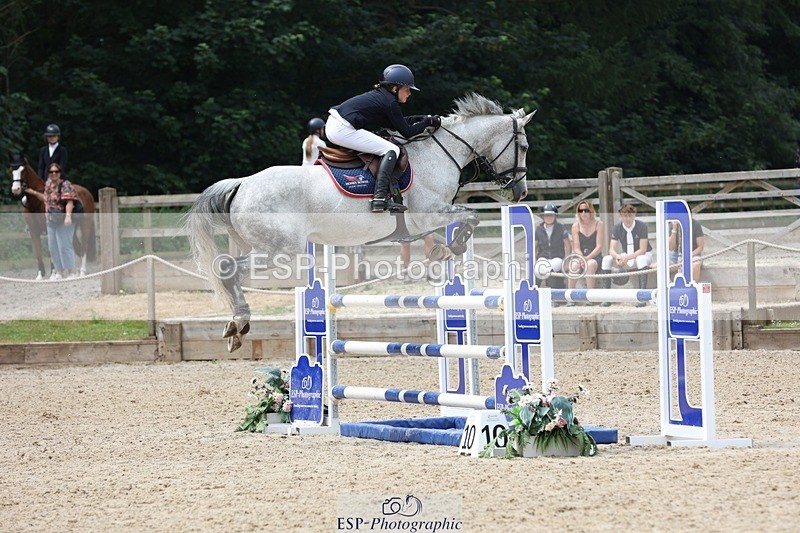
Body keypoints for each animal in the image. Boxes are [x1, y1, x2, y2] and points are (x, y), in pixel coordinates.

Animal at [186, 93, 534, 352]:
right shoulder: (430, 212)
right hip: (280, 250)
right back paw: (239, 323)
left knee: (229, 270)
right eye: (524, 147)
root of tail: (241, 184)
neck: (440, 153)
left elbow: (462, 222)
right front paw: (448, 249)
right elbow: (471, 217)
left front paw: (443, 250)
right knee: (228, 269)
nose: (519, 192)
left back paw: (236, 327)